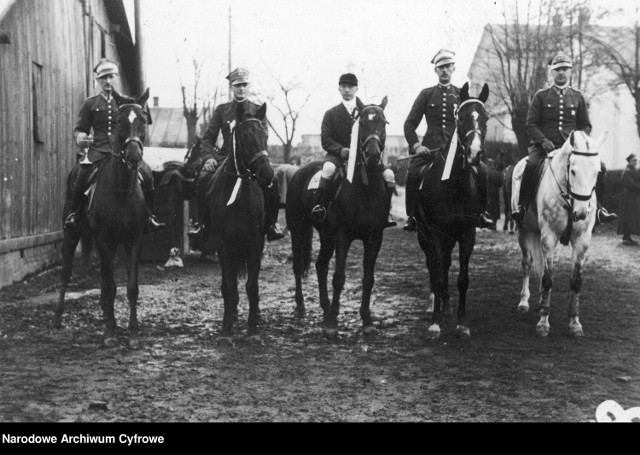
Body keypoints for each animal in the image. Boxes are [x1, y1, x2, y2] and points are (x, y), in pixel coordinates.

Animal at [53, 87, 151, 348]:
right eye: (118, 121)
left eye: (143, 121)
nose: (133, 156)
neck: (122, 190)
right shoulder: (105, 241)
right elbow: (111, 287)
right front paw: (110, 332)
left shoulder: (134, 241)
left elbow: (130, 287)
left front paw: (133, 333)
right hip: (72, 233)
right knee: (67, 272)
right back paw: (57, 317)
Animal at [208, 101, 272, 340]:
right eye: (244, 136)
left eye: (265, 134)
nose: (268, 174)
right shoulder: (223, 244)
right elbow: (229, 285)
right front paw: (227, 328)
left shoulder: (255, 242)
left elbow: (252, 285)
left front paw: (253, 328)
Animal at [288, 97, 390, 338]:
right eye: (362, 123)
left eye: (383, 123)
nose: (373, 157)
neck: (366, 189)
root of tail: (300, 170)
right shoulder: (343, 236)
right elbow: (339, 277)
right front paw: (333, 324)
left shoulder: (374, 238)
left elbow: (368, 279)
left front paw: (367, 320)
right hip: (298, 228)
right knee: (298, 265)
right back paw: (301, 307)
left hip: (326, 236)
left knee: (320, 265)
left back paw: (325, 308)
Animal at [416, 82, 490, 340]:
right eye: (462, 118)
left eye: (485, 118)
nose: (475, 153)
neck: (454, 185)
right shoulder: (436, 233)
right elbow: (438, 275)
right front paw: (435, 323)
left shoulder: (467, 234)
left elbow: (462, 278)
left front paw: (462, 323)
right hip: (424, 235)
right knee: (434, 266)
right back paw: (434, 305)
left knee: (446, 264)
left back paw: (446, 305)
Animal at [512, 132, 604, 338]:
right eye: (573, 171)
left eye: (597, 172)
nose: (581, 213)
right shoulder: (549, 236)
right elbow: (547, 279)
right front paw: (543, 323)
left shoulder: (582, 240)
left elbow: (575, 281)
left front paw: (575, 324)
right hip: (523, 229)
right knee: (527, 263)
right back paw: (523, 303)